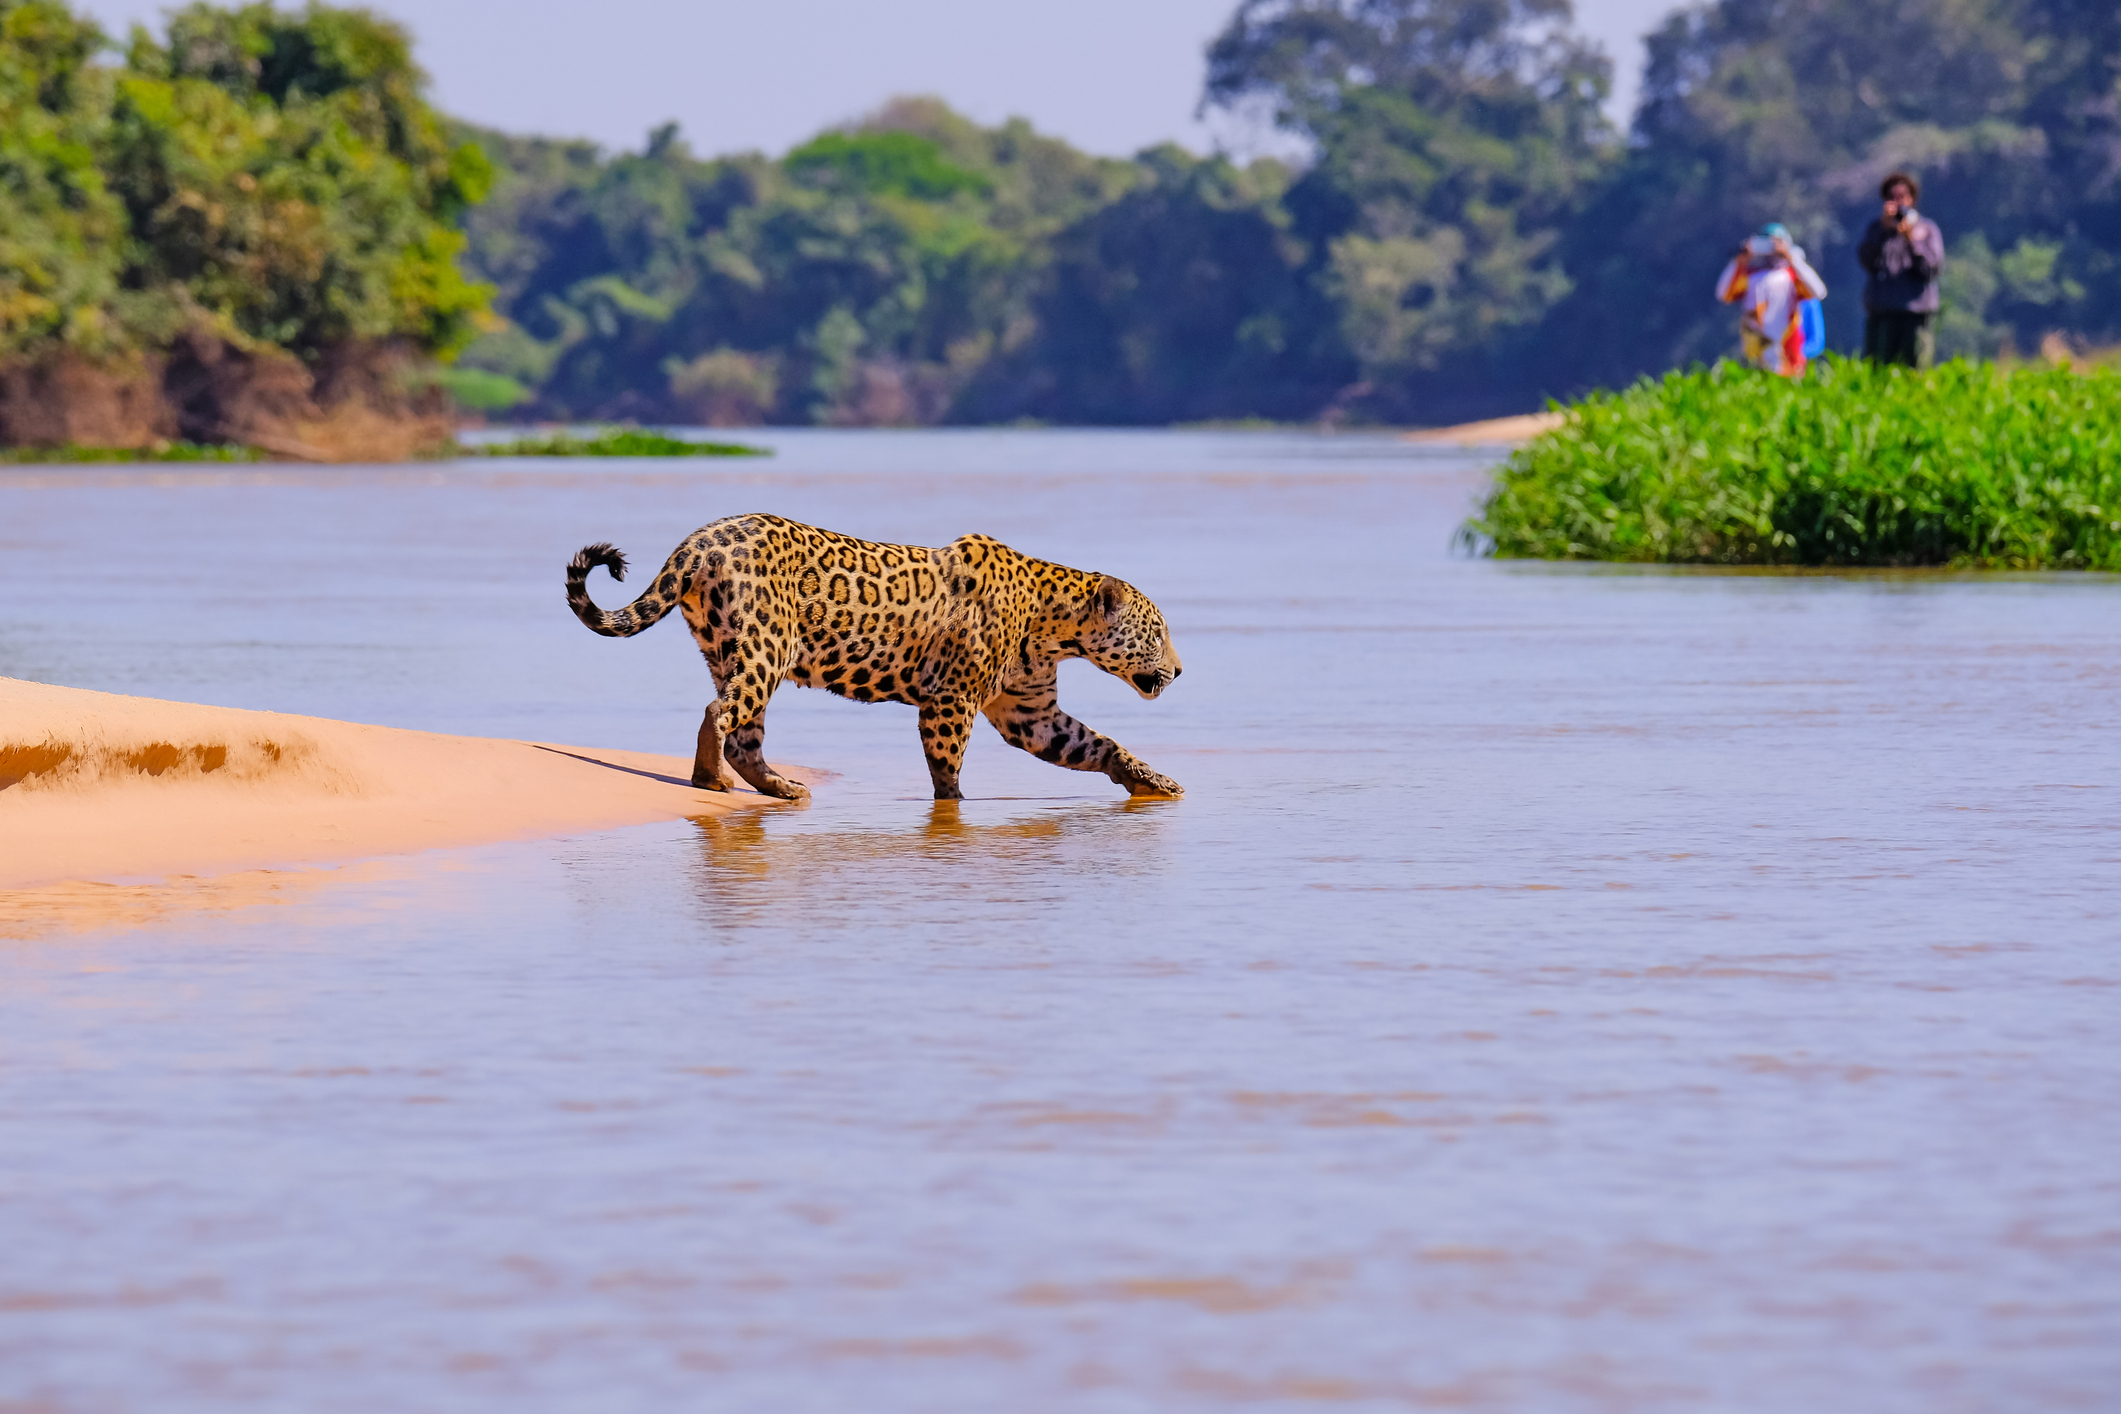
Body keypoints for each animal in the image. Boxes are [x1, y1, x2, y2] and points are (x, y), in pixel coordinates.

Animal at [564, 513, 1185, 802]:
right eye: (1157, 632)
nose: (1180, 670)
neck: (1053, 624)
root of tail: (699, 540)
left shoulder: (1030, 713)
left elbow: (1097, 744)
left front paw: (1154, 781)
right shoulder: (951, 699)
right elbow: (947, 768)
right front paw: (954, 808)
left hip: (729, 647)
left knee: (744, 733)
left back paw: (780, 788)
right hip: (768, 644)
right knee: (721, 713)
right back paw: (709, 780)